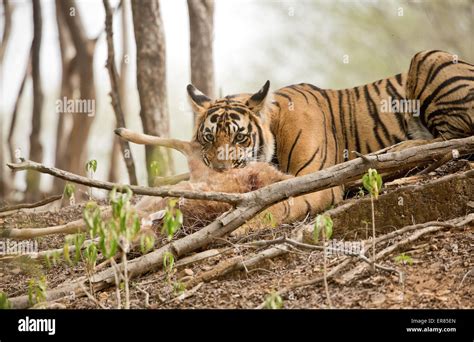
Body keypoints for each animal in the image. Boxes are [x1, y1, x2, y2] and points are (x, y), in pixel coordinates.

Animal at [187, 48, 472, 224]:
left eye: (239, 138)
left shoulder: (315, 181)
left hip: (427, 58)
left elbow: (276, 207)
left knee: (452, 138)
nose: (221, 172)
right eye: (209, 138)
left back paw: (395, 153)